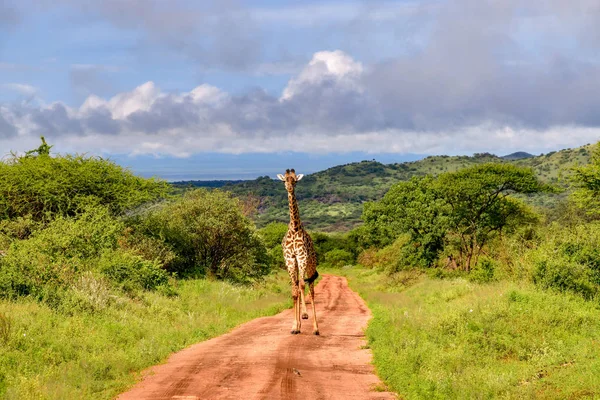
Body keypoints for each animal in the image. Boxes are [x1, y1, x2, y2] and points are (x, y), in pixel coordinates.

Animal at [278, 168, 322, 334]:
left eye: (295, 180)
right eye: (285, 180)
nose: (289, 188)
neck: (295, 227)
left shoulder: (301, 257)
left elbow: (302, 286)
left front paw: (304, 315)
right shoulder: (290, 259)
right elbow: (294, 290)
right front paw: (294, 326)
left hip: (310, 265)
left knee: (311, 290)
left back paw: (316, 328)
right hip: (297, 265)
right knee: (298, 285)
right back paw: (298, 326)